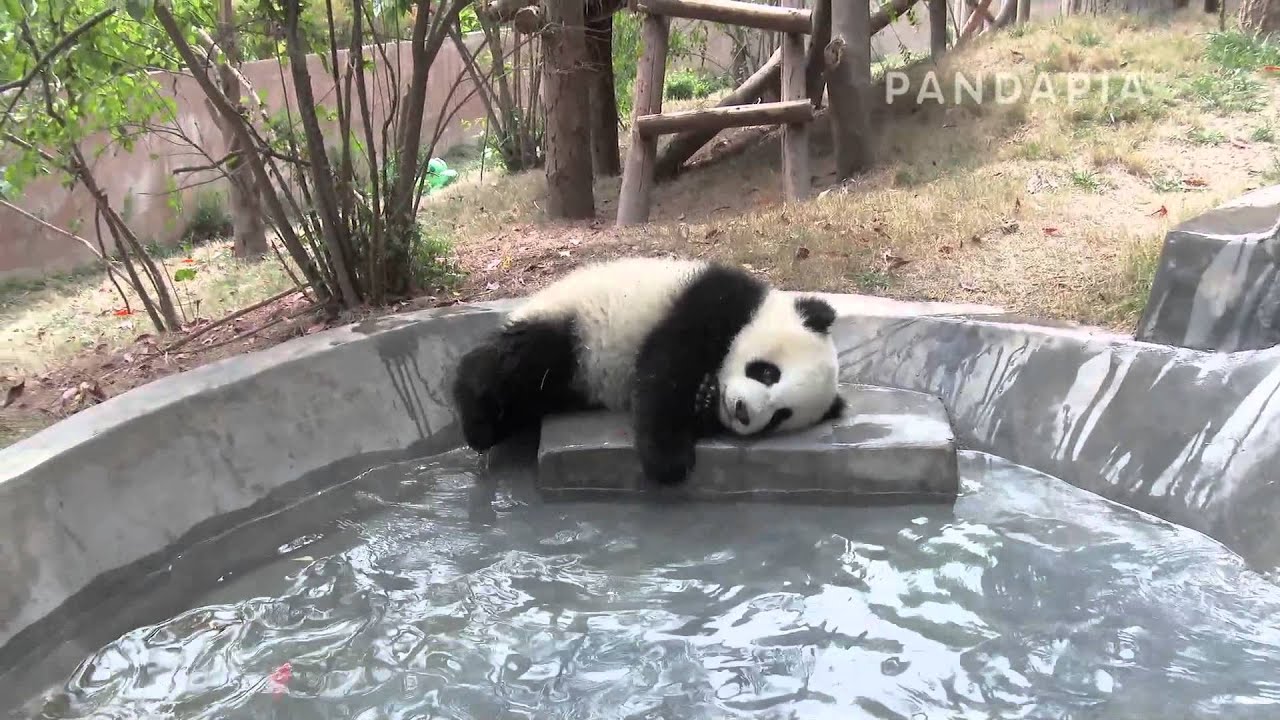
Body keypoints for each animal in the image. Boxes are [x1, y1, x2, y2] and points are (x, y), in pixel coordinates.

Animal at [450, 257, 845, 486]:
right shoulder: (709, 304)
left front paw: (704, 404)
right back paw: (477, 420)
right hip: (576, 328)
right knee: (515, 362)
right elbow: (666, 370)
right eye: (767, 373)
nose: (743, 412)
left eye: (780, 415)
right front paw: (668, 459)